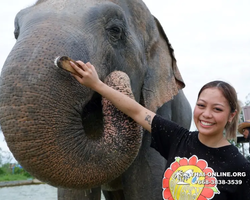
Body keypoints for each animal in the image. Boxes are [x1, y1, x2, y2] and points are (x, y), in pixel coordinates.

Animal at [0, 0, 191, 200]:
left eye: (115, 30)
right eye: (15, 33)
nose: (62, 61)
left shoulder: (160, 108)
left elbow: (146, 186)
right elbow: (75, 191)